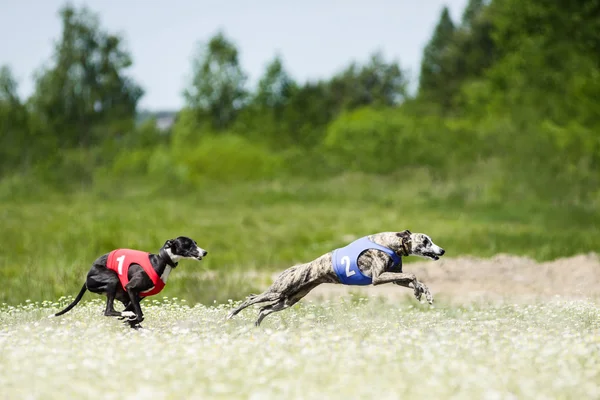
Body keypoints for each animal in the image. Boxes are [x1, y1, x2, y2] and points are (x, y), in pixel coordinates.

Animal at [49, 238, 209, 328]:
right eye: (188, 244)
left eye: (195, 243)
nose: (205, 252)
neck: (161, 261)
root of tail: (87, 278)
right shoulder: (131, 287)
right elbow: (139, 315)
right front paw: (131, 319)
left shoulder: (136, 296)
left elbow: (136, 316)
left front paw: (131, 322)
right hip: (112, 280)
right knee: (108, 311)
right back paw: (125, 315)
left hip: (122, 294)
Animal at [227, 231, 442, 324]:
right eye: (426, 241)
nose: (442, 250)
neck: (391, 242)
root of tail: (291, 269)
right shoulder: (377, 277)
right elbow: (413, 274)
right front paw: (418, 291)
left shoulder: (395, 277)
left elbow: (415, 279)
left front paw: (424, 293)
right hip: (278, 291)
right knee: (251, 299)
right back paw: (231, 314)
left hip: (288, 300)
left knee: (263, 309)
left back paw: (256, 326)